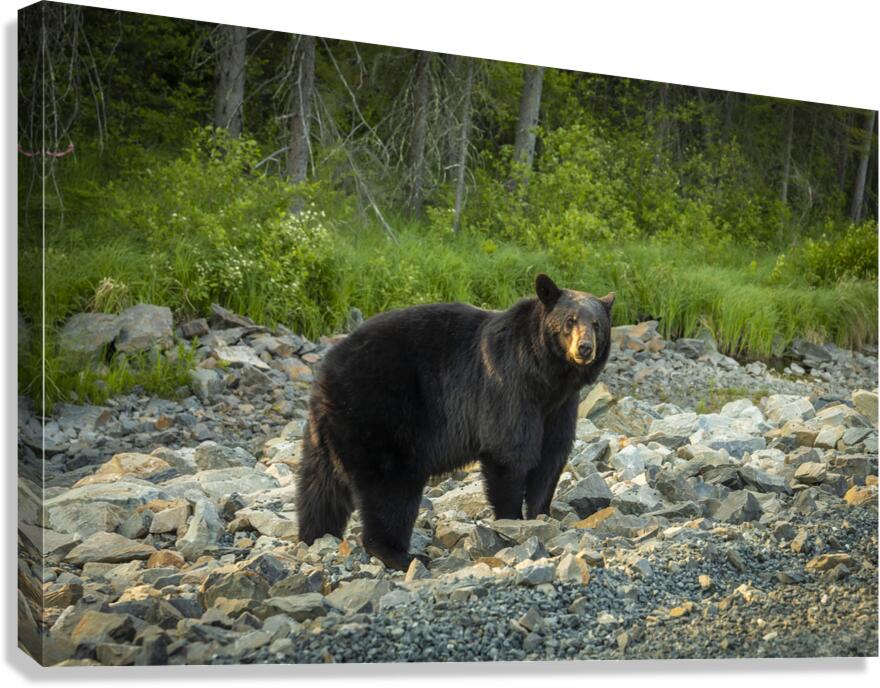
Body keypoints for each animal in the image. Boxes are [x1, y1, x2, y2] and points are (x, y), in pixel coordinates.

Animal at [295, 273, 615, 571]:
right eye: (569, 321)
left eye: (597, 324)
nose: (585, 348)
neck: (546, 376)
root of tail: (325, 377)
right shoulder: (509, 388)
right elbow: (509, 452)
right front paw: (513, 521)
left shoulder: (560, 406)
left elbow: (551, 456)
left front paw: (541, 514)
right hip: (379, 417)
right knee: (390, 491)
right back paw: (401, 554)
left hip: (326, 434)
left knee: (319, 489)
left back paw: (316, 535)